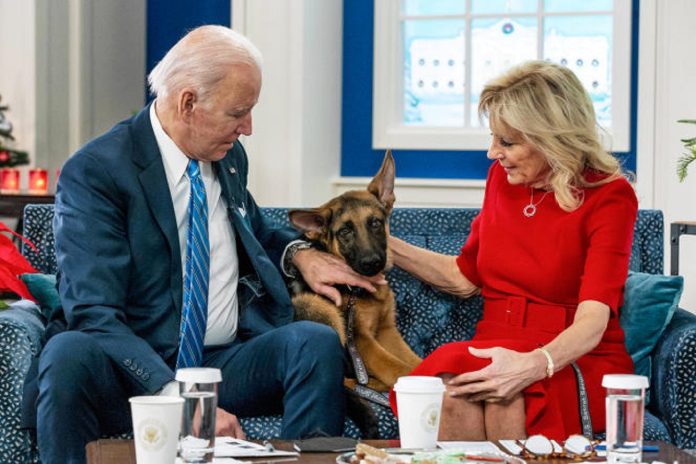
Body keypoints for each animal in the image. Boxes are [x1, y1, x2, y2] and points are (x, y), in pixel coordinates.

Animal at [286, 150, 422, 394]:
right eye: (345, 232)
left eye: (375, 223)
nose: (372, 263)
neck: (356, 290)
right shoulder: (361, 340)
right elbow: (399, 368)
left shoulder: (386, 330)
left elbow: (414, 360)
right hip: (315, 305)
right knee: (343, 380)